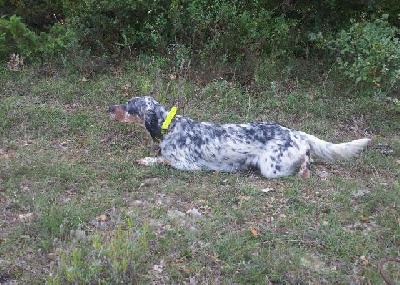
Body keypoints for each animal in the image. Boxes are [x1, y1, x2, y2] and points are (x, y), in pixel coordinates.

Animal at [108, 95, 370, 178]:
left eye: (130, 106)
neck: (169, 125)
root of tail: (293, 131)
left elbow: (163, 159)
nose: (109, 108)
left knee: (305, 162)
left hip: (271, 167)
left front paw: (146, 160)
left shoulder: (187, 164)